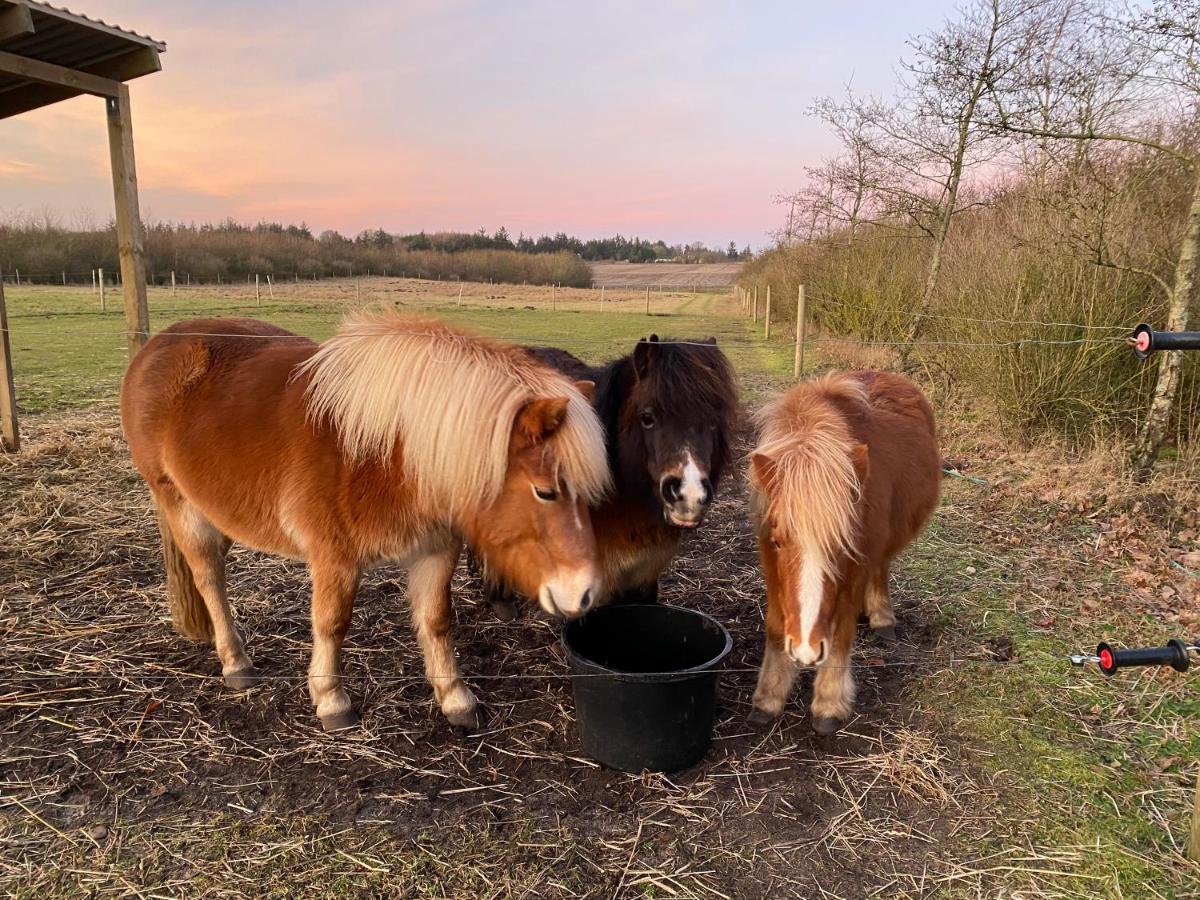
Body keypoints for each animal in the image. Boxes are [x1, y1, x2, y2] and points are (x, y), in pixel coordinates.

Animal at [121, 309, 609, 734]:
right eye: (545, 491)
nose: (583, 593)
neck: (389, 454)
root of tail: (158, 346)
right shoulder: (334, 558)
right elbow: (332, 623)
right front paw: (331, 702)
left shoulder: (435, 550)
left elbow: (437, 620)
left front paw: (455, 699)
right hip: (181, 506)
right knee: (209, 577)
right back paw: (236, 662)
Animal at [748, 369, 936, 734]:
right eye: (778, 540)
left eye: (840, 544)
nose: (805, 649)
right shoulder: (769, 562)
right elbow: (776, 625)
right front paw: (768, 697)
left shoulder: (858, 560)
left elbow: (843, 629)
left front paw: (829, 703)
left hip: (882, 547)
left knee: (881, 570)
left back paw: (880, 617)